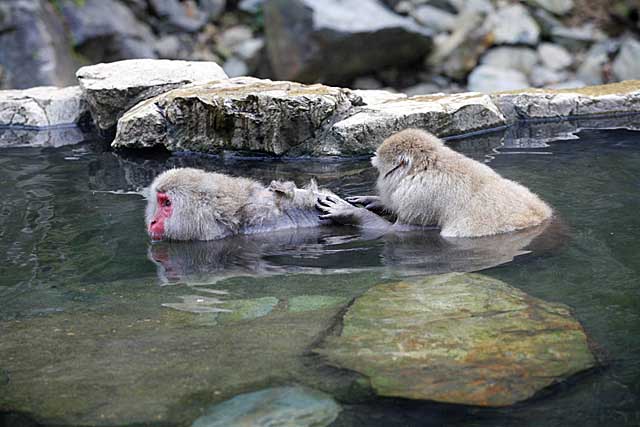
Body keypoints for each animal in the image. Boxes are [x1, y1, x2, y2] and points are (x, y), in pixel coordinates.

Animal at [318, 129, 552, 239]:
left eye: (380, 170)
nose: (378, 180)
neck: (427, 166)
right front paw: (375, 201)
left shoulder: (418, 196)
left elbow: (401, 232)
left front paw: (351, 212)